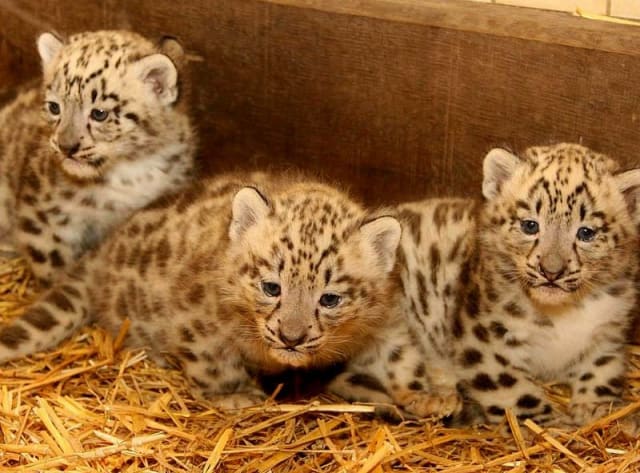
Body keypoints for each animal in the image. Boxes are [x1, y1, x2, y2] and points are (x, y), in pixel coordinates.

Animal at [0, 30, 196, 288]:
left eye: (99, 114)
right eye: (54, 107)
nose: (66, 147)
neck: (130, 174)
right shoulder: (45, 220)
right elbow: (54, 268)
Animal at [0, 172, 457, 415]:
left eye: (329, 299)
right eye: (271, 287)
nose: (292, 337)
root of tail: (101, 252)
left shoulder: (385, 324)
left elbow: (400, 357)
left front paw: (428, 396)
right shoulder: (198, 325)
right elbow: (212, 365)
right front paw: (234, 395)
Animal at [391, 143, 640, 428]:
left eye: (586, 233)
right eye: (530, 225)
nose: (551, 271)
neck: (564, 314)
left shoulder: (608, 334)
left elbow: (602, 370)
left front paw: (598, 410)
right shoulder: (486, 339)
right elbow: (514, 392)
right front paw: (554, 426)